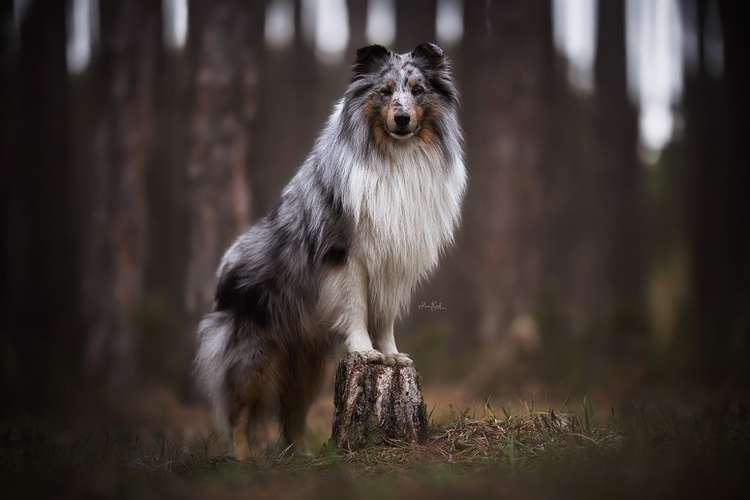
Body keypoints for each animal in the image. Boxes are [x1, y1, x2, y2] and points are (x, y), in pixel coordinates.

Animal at [195, 43, 464, 460]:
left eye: (418, 90)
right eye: (386, 91)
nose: (402, 118)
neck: (394, 154)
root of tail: (224, 269)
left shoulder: (393, 262)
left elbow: (384, 317)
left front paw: (391, 354)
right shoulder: (345, 256)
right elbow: (356, 307)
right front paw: (366, 351)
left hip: (305, 364)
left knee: (291, 413)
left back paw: (298, 456)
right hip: (253, 354)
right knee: (239, 410)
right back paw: (242, 460)